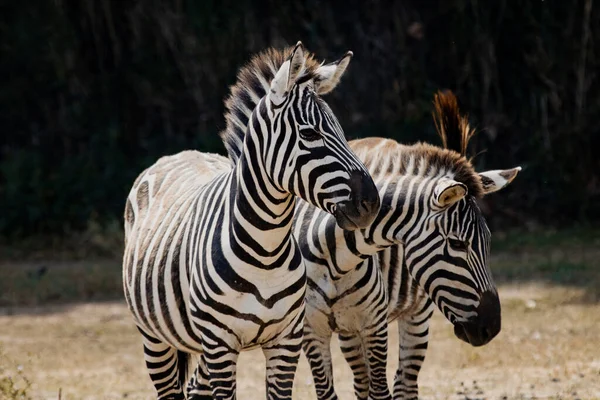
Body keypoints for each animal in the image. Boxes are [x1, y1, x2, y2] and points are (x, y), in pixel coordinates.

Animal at [123, 41, 380, 400]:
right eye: (309, 133)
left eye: (342, 132)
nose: (370, 202)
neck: (266, 250)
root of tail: (177, 154)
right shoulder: (220, 345)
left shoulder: (286, 341)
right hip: (154, 337)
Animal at [294, 90, 520, 400]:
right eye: (457, 244)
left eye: (488, 242)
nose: (492, 328)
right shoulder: (313, 328)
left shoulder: (379, 321)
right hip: (350, 328)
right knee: (362, 380)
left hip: (414, 315)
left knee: (405, 382)